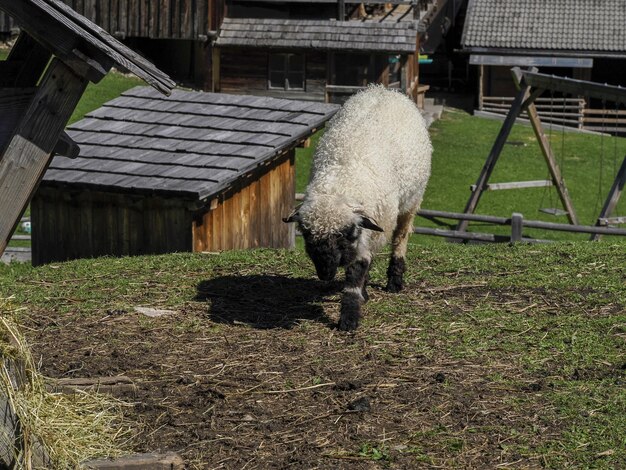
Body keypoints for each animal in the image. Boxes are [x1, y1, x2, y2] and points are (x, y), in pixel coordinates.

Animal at [286, 86, 432, 332]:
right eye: (305, 235)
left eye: (345, 234)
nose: (325, 273)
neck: (342, 179)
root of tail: (383, 89)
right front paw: (361, 296)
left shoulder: (365, 228)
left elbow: (357, 270)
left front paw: (349, 318)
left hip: (412, 200)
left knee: (401, 236)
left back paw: (395, 280)